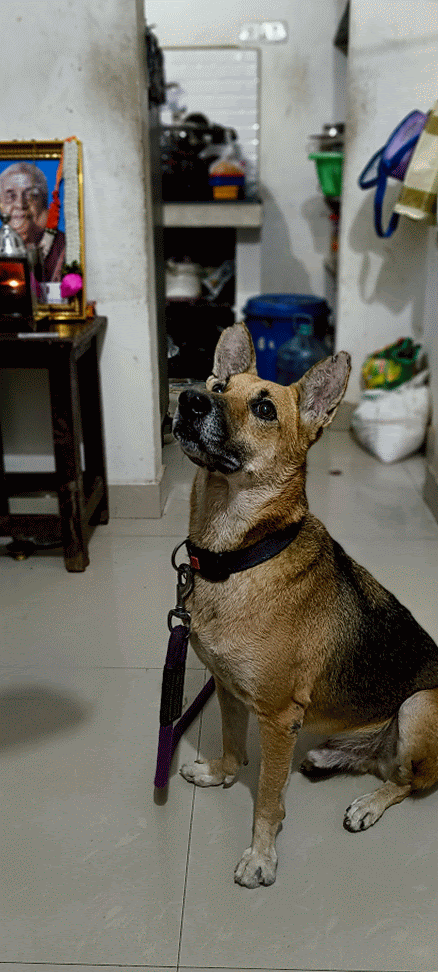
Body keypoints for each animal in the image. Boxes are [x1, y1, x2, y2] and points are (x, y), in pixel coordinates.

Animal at [172, 322, 438, 888]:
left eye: (265, 409)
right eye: (218, 384)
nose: (188, 399)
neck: (241, 555)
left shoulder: (277, 718)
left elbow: (268, 800)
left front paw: (261, 856)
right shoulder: (228, 687)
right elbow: (233, 747)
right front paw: (218, 774)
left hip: (417, 706)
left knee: (410, 781)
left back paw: (369, 804)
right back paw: (330, 758)